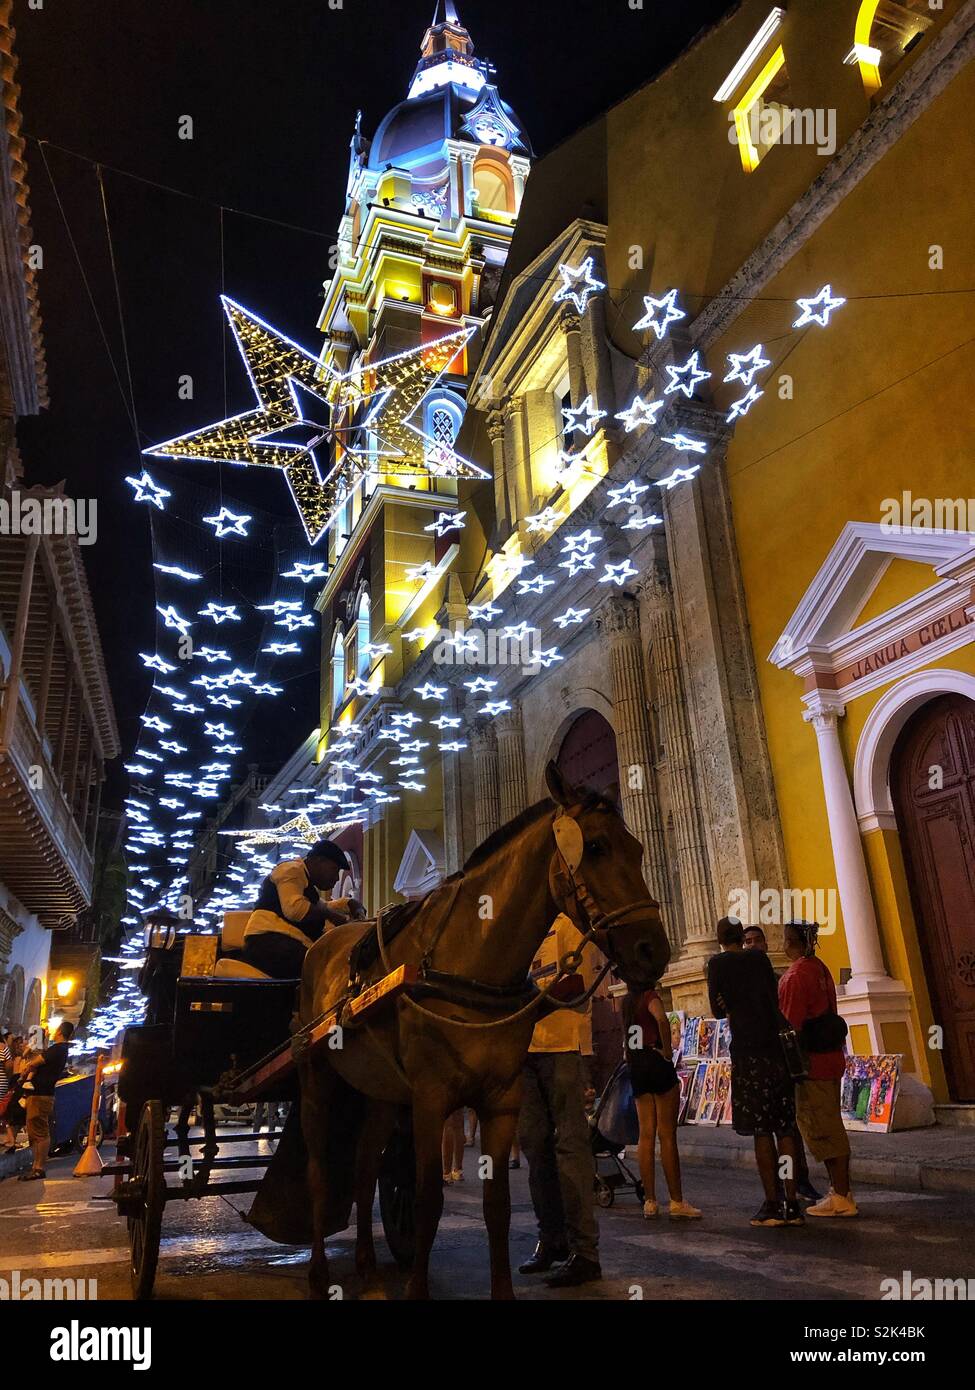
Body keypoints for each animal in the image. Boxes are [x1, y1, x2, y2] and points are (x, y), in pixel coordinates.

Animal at [294, 756, 670, 1295]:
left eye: (639, 849)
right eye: (596, 847)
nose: (652, 951)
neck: (468, 960)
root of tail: (323, 946)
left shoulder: (502, 1100)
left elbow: (498, 1207)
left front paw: (504, 1289)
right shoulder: (431, 1098)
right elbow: (427, 1199)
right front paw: (417, 1289)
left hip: (379, 1091)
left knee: (365, 1168)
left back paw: (366, 1264)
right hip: (316, 1078)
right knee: (321, 1168)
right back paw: (321, 1270)